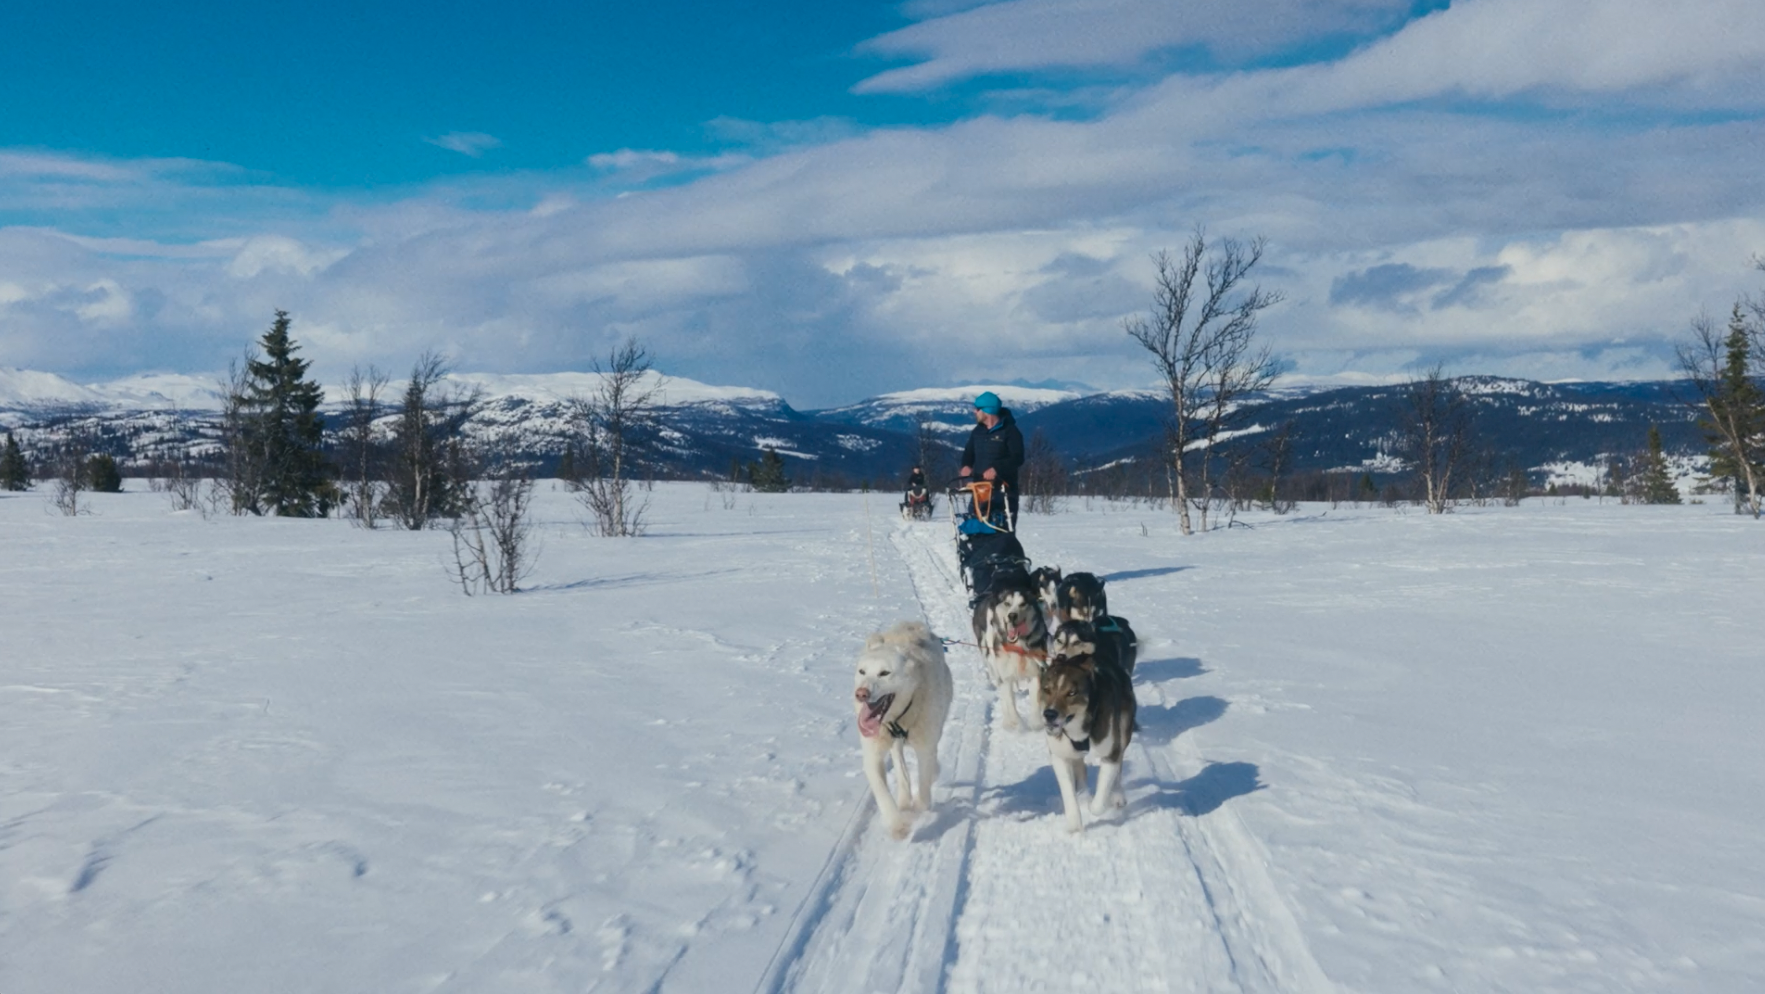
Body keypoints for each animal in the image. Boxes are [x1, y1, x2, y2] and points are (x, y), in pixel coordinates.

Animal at [850, 621, 953, 840]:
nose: (861, 693)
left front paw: (920, 808)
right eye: (862, 671)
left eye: (884, 673)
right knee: (899, 763)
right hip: (893, 744)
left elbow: (924, 788)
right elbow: (882, 794)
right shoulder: (873, 754)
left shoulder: (925, 747)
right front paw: (898, 825)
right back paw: (904, 799)